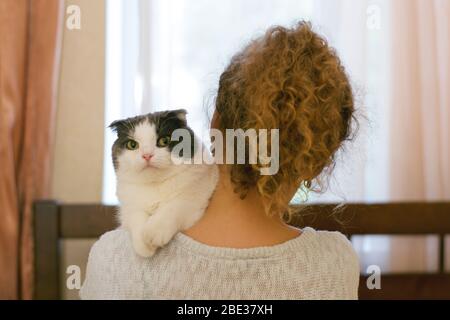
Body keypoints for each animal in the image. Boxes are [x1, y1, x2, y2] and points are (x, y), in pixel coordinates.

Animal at [110, 110, 220, 258]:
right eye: (132, 145)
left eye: (164, 141)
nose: (147, 155)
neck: (155, 185)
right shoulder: (128, 207)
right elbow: (136, 215)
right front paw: (143, 245)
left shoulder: (195, 198)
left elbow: (174, 206)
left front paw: (154, 232)